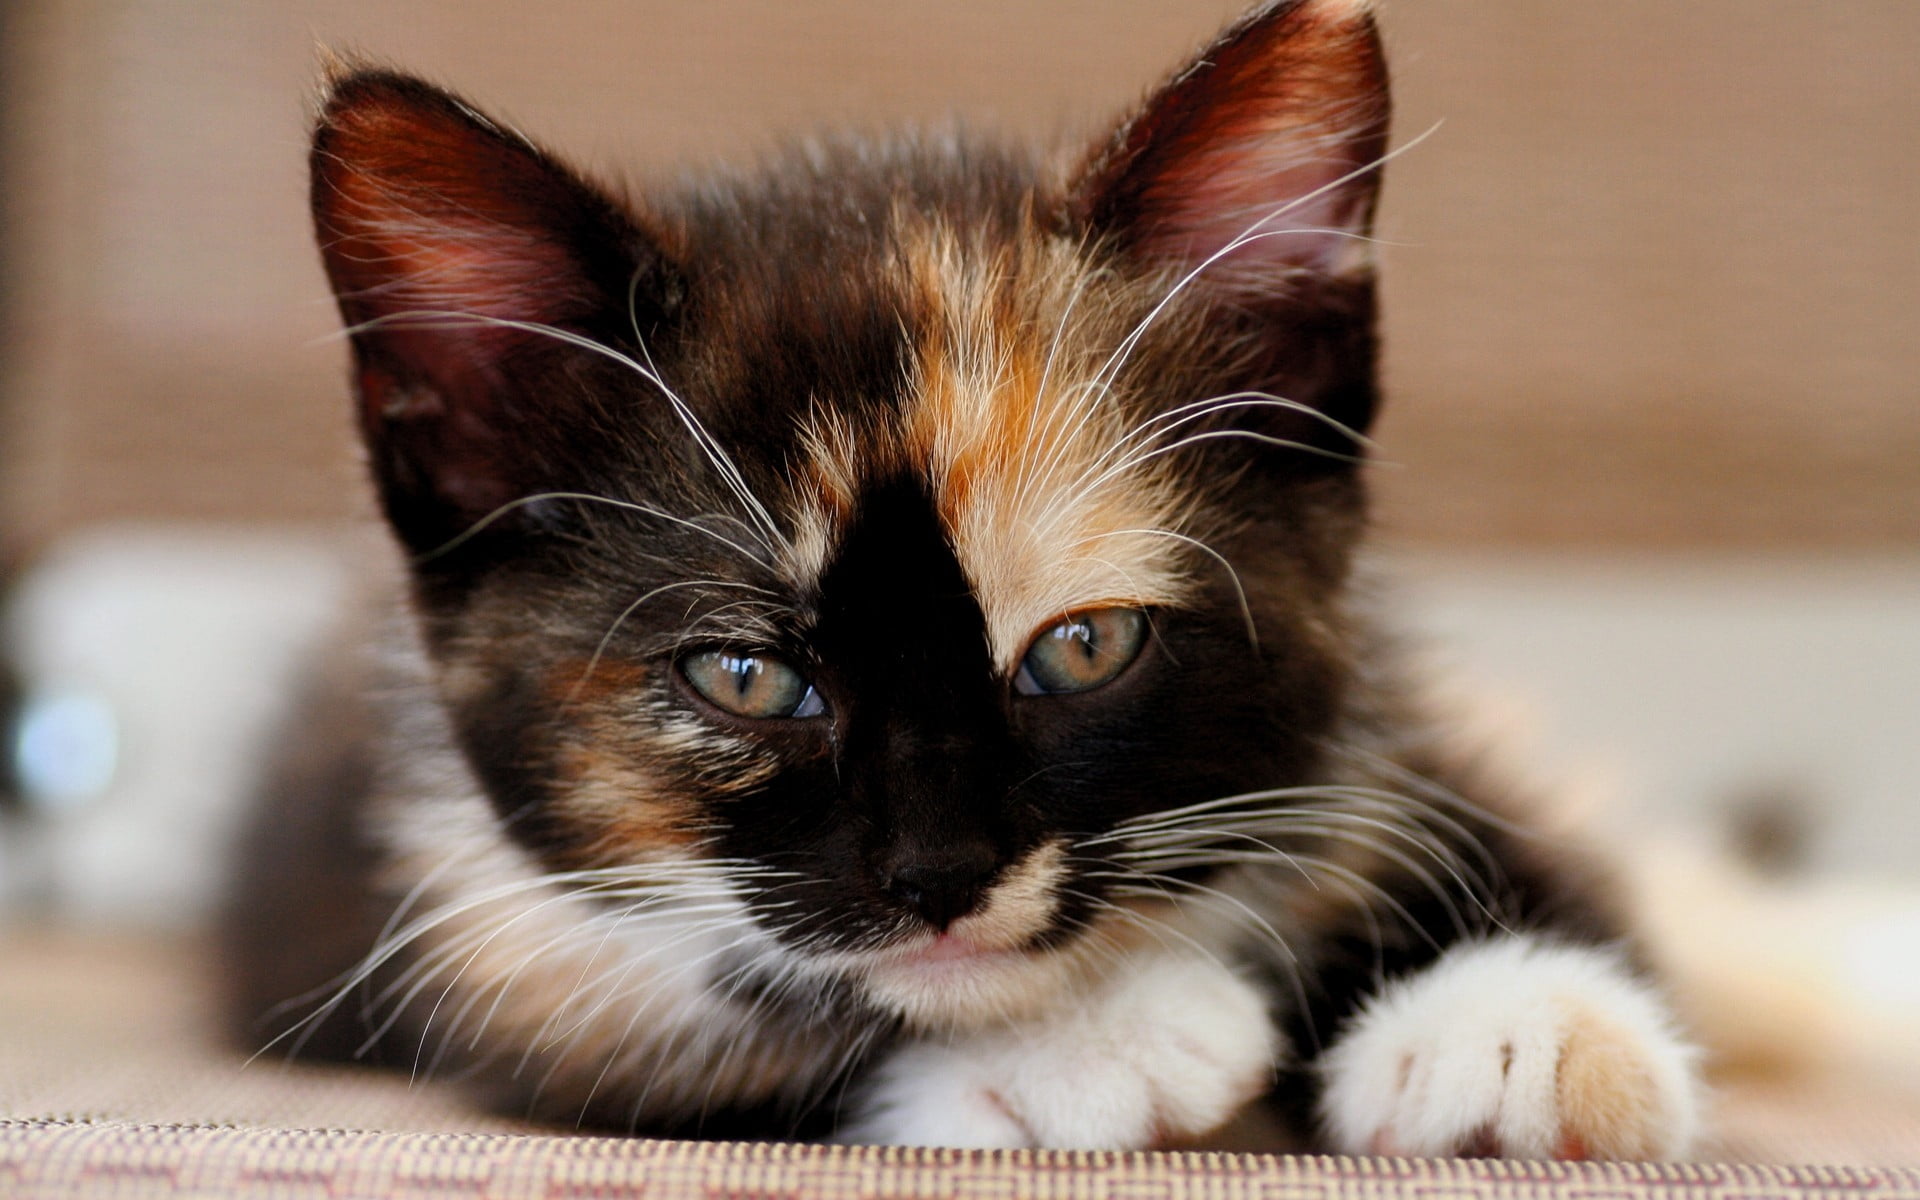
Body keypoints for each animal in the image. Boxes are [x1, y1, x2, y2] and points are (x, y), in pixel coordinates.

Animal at [228, 0, 1712, 1159]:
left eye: (1085, 646)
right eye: (745, 675)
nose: (939, 875)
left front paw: (1517, 1015)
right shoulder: (441, 920)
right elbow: (642, 1056)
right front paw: (1097, 1042)